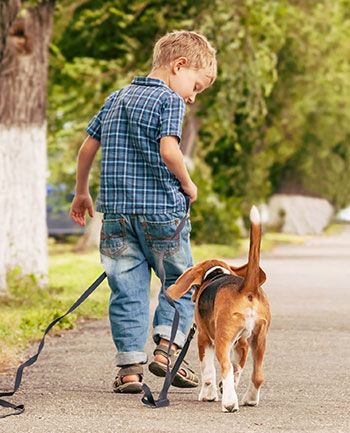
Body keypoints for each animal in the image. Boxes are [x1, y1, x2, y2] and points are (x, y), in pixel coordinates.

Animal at [167, 206, 270, 412]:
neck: (215, 274)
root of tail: (247, 288)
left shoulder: (203, 338)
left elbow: (208, 371)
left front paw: (208, 395)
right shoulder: (242, 344)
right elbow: (238, 370)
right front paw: (222, 388)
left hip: (223, 338)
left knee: (226, 367)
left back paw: (229, 403)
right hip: (259, 339)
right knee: (257, 375)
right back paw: (249, 399)